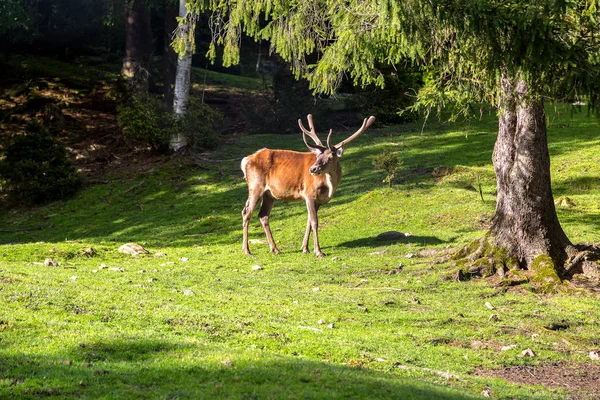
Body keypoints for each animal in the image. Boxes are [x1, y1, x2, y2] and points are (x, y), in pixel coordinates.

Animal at [240, 113, 376, 256]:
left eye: (330, 158)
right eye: (317, 157)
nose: (313, 169)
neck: (329, 187)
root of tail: (245, 160)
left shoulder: (319, 200)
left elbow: (309, 222)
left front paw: (305, 248)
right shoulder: (309, 194)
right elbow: (315, 222)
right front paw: (318, 251)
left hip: (269, 194)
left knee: (263, 215)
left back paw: (275, 249)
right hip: (255, 186)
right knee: (246, 212)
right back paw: (247, 250)